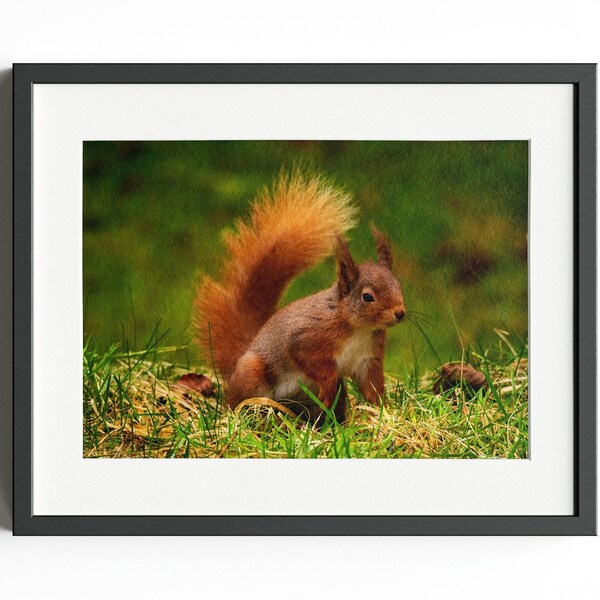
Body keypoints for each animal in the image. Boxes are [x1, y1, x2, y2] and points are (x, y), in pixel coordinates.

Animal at [195, 171, 406, 420]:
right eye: (367, 297)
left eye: (399, 286)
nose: (400, 313)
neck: (358, 328)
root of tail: (240, 359)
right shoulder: (307, 338)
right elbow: (314, 363)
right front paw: (328, 387)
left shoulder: (368, 359)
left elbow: (371, 386)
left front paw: (383, 411)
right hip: (252, 374)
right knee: (240, 401)